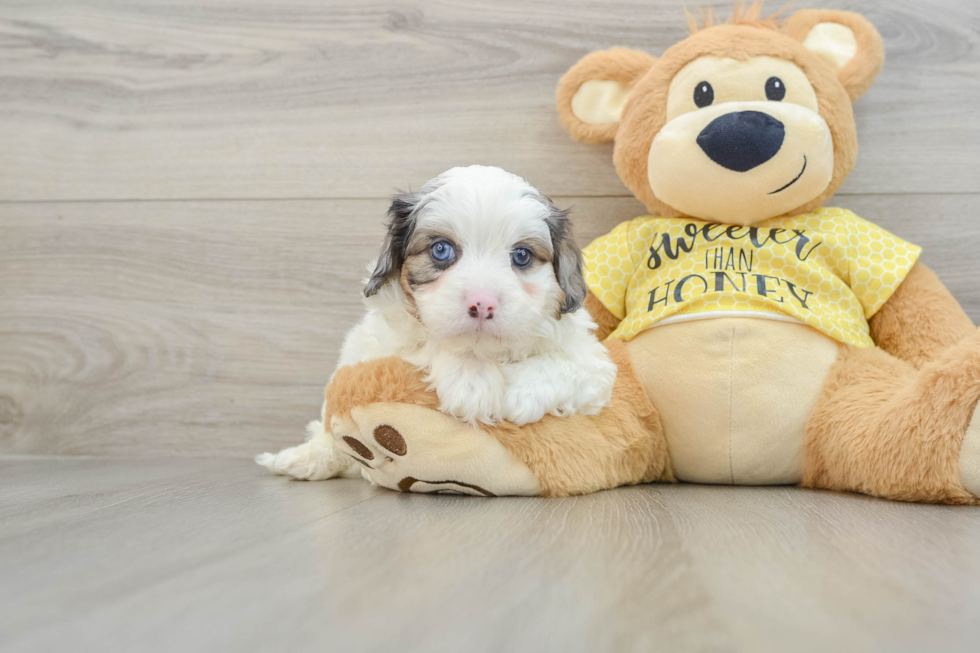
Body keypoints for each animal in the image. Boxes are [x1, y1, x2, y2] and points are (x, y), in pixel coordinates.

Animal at [256, 164, 616, 478]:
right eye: (441, 250)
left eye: (522, 255)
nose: (482, 303)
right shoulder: (389, 337)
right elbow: (427, 340)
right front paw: (471, 379)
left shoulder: (593, 362)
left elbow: (572, 365)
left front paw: (518, 393)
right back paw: (301, 459)